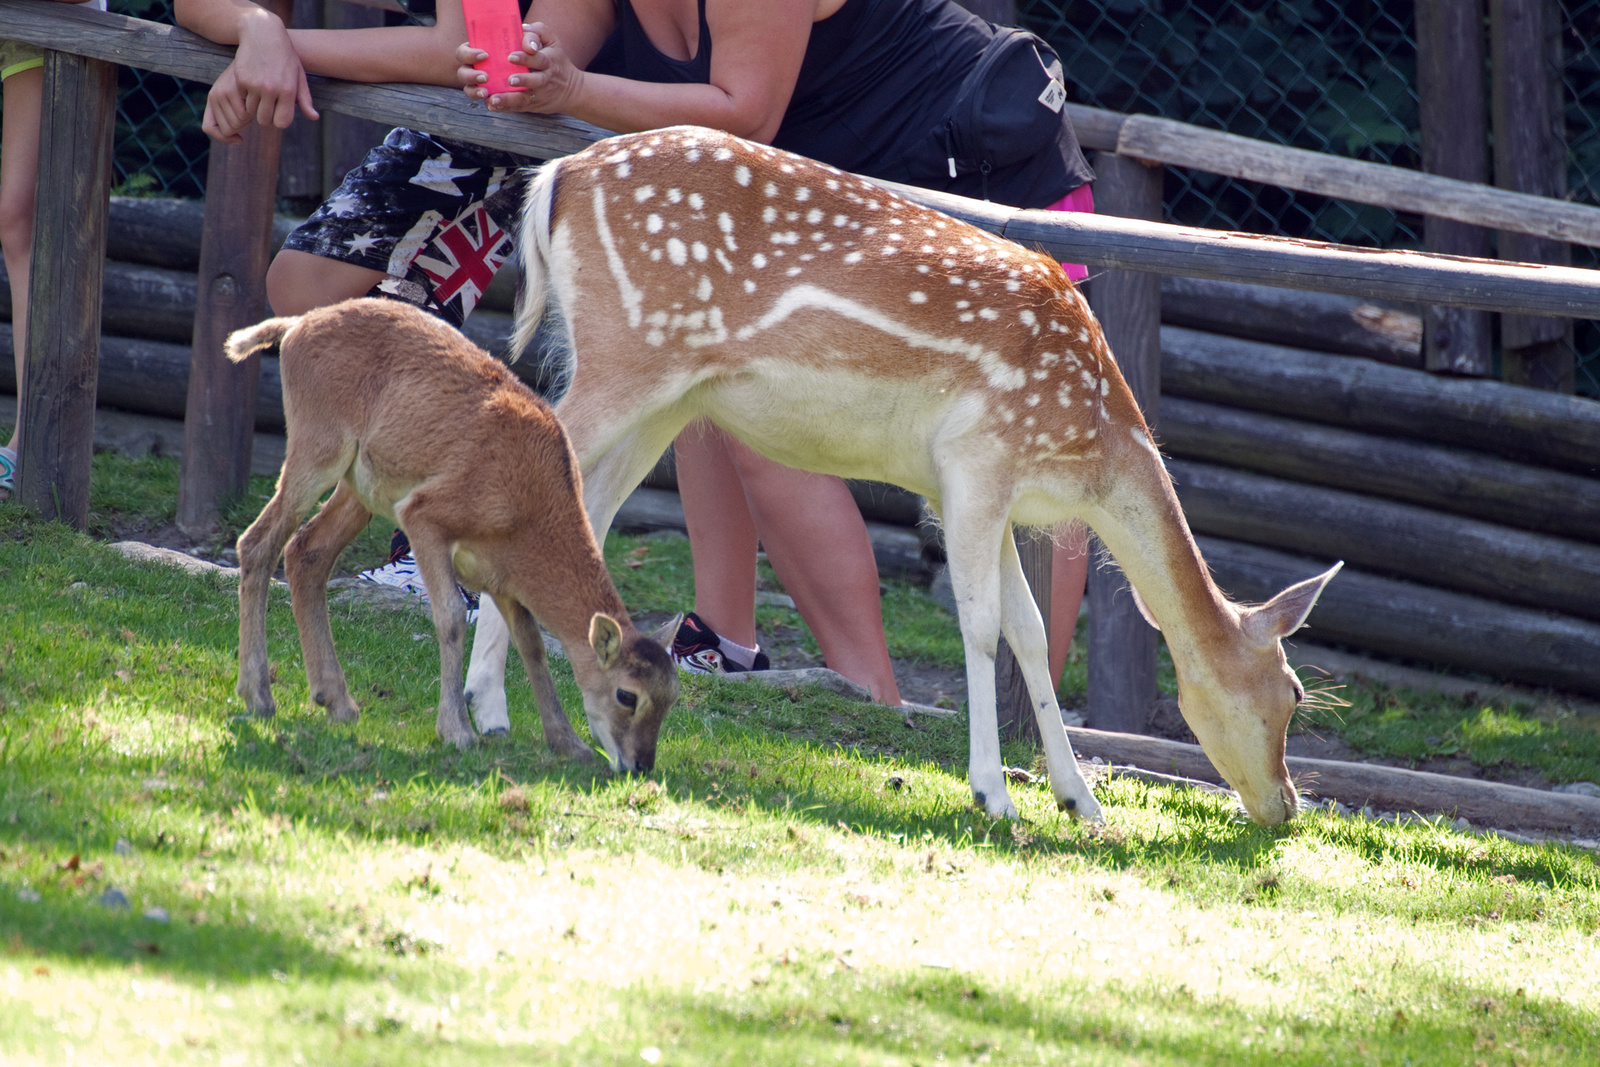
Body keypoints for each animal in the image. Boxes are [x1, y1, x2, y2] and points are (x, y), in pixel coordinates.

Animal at [225, 300, 675, 767]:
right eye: (627, 695)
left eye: (671, 698)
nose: (640, 765)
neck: (526, 516)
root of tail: (295, 325)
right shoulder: (425, 514)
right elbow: (453, 616)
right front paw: (457, 730)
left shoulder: (502, 579)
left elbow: (531, 644)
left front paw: (570, 743)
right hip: (318, 445)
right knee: (258, 541)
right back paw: (259, 697)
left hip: (359, 489)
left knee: (306, 551)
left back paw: (337, 702)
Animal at [464, 127, 1337, 825]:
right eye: (1294, 693)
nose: (1287, 805)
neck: (1087, 445)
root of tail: (559, 175)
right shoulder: (979, 459)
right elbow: (982, 625)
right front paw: (993, 792)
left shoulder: (985, 489)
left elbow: (1031, 629)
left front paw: (1082, 800)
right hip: (628, 351)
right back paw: (484, 705)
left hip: (669, 395)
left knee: (593, 503)